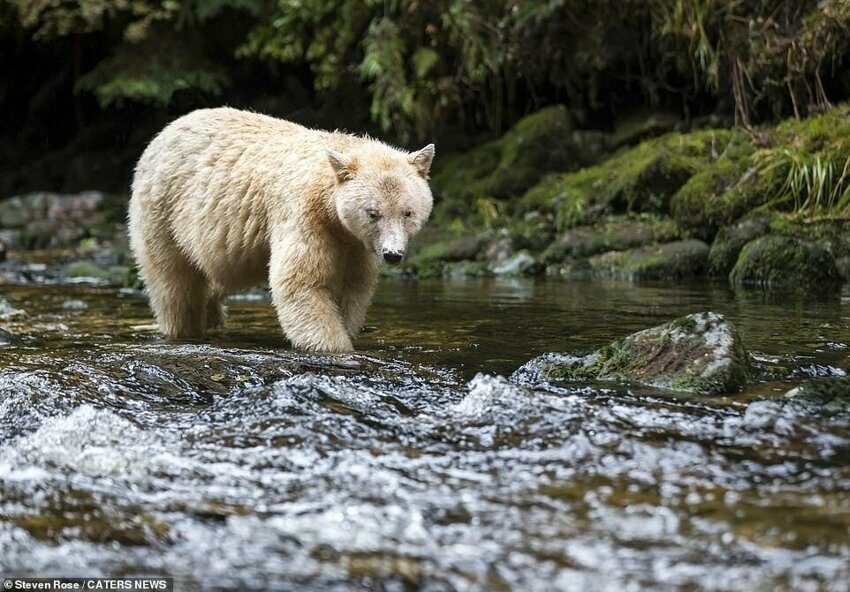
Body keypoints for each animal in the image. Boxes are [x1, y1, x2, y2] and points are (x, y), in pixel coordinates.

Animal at [129, 107, 434, 352]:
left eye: (407, 212)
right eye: (373, 213)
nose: (393, 254)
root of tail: (164, 133)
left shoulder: (355, 244)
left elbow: (351, 287)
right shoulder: (304, 216)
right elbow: (301, 282)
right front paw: (337, 348)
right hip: (163, 209)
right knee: (174, 283)